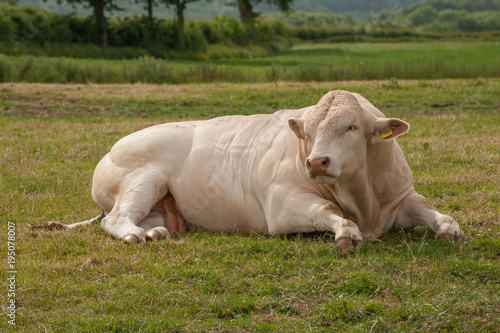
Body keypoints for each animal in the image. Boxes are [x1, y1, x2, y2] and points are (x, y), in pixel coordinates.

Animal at [45, 89, 462, 249]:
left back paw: (158, 231)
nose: (316, 161)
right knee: (115, 219)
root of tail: (112, 149)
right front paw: (346, 231)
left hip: (163, 204)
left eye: (351, 127)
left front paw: (450, 227)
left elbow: (428, 207)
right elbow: (328, 210)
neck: (364, 201)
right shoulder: (282, 203)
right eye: (307, 132)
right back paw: (135, 235)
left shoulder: (400, 196)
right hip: (142, 180)